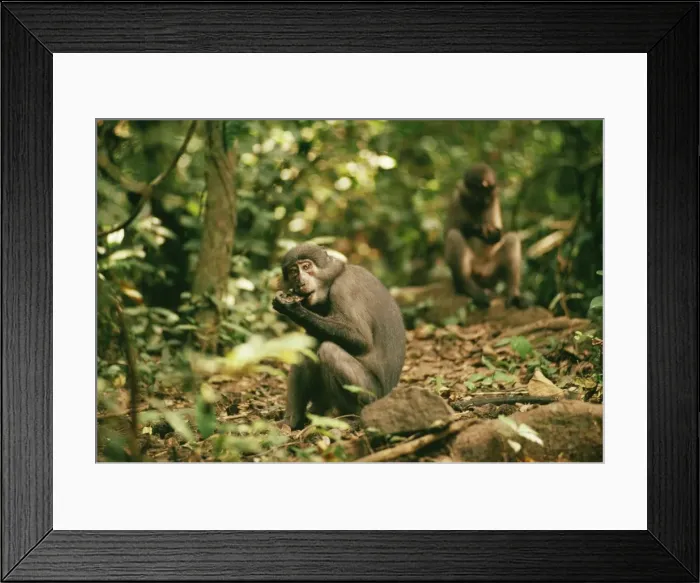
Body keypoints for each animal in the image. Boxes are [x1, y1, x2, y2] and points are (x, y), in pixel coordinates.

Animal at [272, 243, 406, 430]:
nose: (300, 282)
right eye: (293, 272)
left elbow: (361, 339)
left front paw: (292, 308)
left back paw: (352, 416)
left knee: (329, 350)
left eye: (306, 267)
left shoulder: (343, 289)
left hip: (372, 393)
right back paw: (295, 420)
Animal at [444, 163, 530, 310]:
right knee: (453, 235)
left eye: (488, 190)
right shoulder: (456, 198)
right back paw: (467, 287)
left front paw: (491, 233)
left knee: (512, 238)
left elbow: (499, 235)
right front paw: (477, 229)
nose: (485, 199)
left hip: (492, 272)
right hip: (473, 269)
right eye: (479, 189)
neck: (475, 205)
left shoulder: (494, 200)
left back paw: (513, 294)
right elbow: (448, 232)